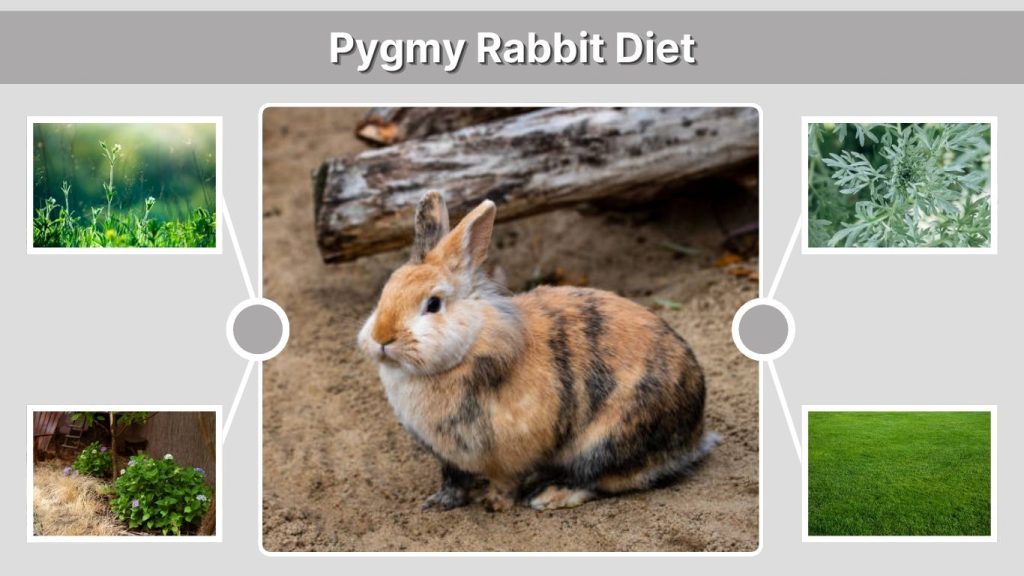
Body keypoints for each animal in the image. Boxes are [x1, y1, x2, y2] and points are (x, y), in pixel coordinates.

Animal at [357, 191, 717, 512]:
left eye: (433, 304)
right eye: (386, 291)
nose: (381, 337)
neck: (469, 345)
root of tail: (694, 432)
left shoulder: (511, 453)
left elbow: (505, 481)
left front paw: (495, 504)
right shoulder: (449, 457)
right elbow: (453, 480)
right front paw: (439, 503)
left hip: (603, 444)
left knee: (605, 480)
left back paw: (550, 496)